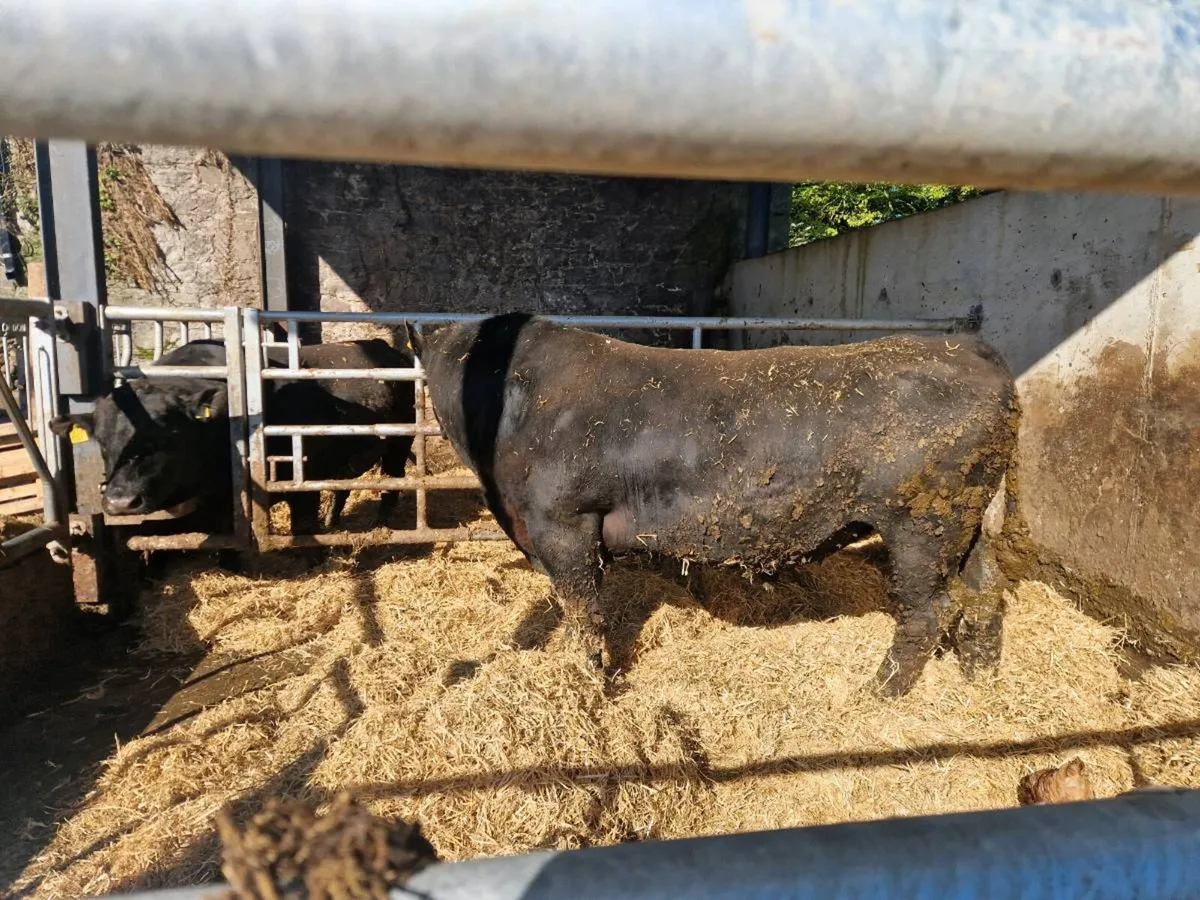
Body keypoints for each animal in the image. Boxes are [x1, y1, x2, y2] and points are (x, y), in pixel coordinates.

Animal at [49, 337, 416, 538]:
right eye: (101, 442)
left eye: (170, 436)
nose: (120, 502)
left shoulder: (300, 480)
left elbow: (302, 523)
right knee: (342, 489)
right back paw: (333, 520)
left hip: (397, 447)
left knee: (391, 482)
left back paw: (382, 524)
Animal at [407, 313, 1018, 697]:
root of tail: (973, 349)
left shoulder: (562, 523)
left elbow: (584, 612)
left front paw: (587, 682)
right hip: (970, 523)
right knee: (986, 592)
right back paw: (980, 683)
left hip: (924, 521)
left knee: (929, 609)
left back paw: (878, 693)